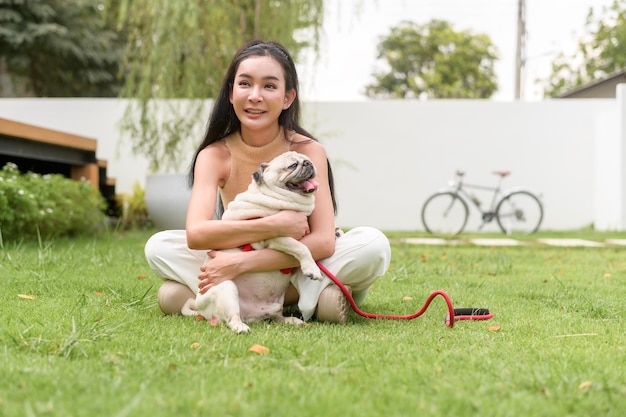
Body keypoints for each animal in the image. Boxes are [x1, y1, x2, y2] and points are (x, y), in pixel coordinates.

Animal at [178, 151, 320, 334]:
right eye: (293, 165)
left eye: (307, 159)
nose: (308, 163)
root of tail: (201, 309)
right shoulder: (275, 236)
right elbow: (301, 247)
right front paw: (312, 269)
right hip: (227, 288)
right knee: (232, 318)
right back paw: (240, 326)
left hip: (276, 305)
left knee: (276, 318)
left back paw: (291, 320)